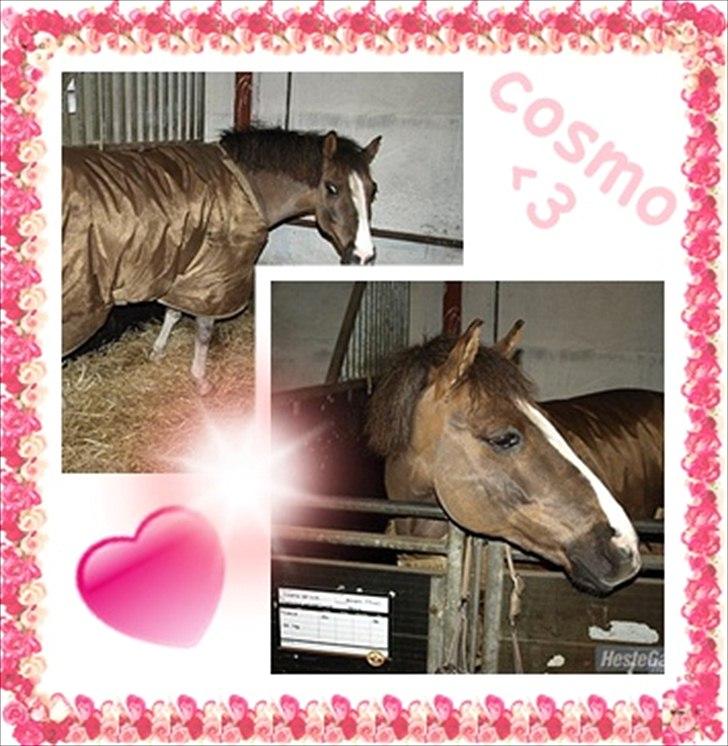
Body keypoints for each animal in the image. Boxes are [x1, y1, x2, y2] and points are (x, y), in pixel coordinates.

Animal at [62, 127, 381, 393]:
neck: (245, 186)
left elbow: (174, 312)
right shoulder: (215, 273)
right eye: (332, 187)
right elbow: (204, 329)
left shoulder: (187, 269)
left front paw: (158, 352)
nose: (363, 256)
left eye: (372, 189)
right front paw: (201, 381)